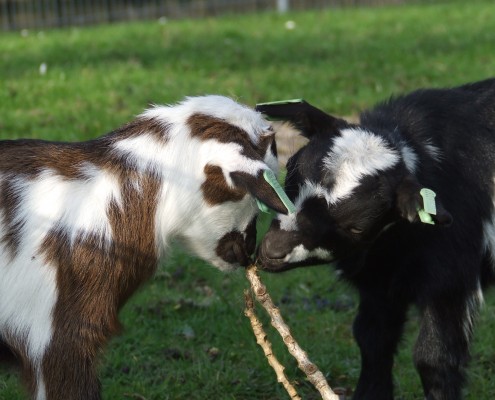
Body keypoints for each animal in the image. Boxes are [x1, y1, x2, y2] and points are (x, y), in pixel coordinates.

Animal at [258, 79, 495, 400]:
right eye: (290, 176)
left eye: (357, 227)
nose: (272, 250)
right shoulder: (378, 280)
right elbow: (371, 339)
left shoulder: (451, 278)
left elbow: (434, 359)